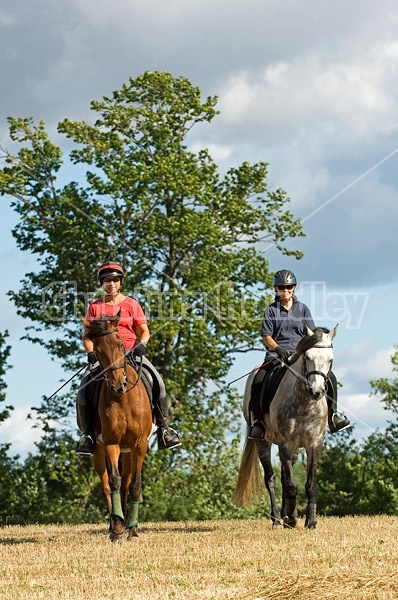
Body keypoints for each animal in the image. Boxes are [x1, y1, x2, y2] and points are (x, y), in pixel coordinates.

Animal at [82, 312, 152, 540]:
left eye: (121, 344)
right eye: (97, 350)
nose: (118, 385)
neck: (124, 398)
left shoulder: (140, 445)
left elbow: (135, 485)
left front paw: (133, 530)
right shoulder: (111, 443)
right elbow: (113, 480)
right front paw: (118, 530)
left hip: (128, 451)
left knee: (127, 484)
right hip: (98, 450)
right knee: (106, 486)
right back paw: (114, 524)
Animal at [233, 326, 336, 528]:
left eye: (330, 359)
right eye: (307, 357)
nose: (317, 391)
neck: (305, 403)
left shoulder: (314, 444)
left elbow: (310, 484)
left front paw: (310, 521)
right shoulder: (285, 444)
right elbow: (290, 484)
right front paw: (292, 518)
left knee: (282, 476)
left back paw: (287, 515)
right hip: (263, 441)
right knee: (271, 479)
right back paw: (277, 519)